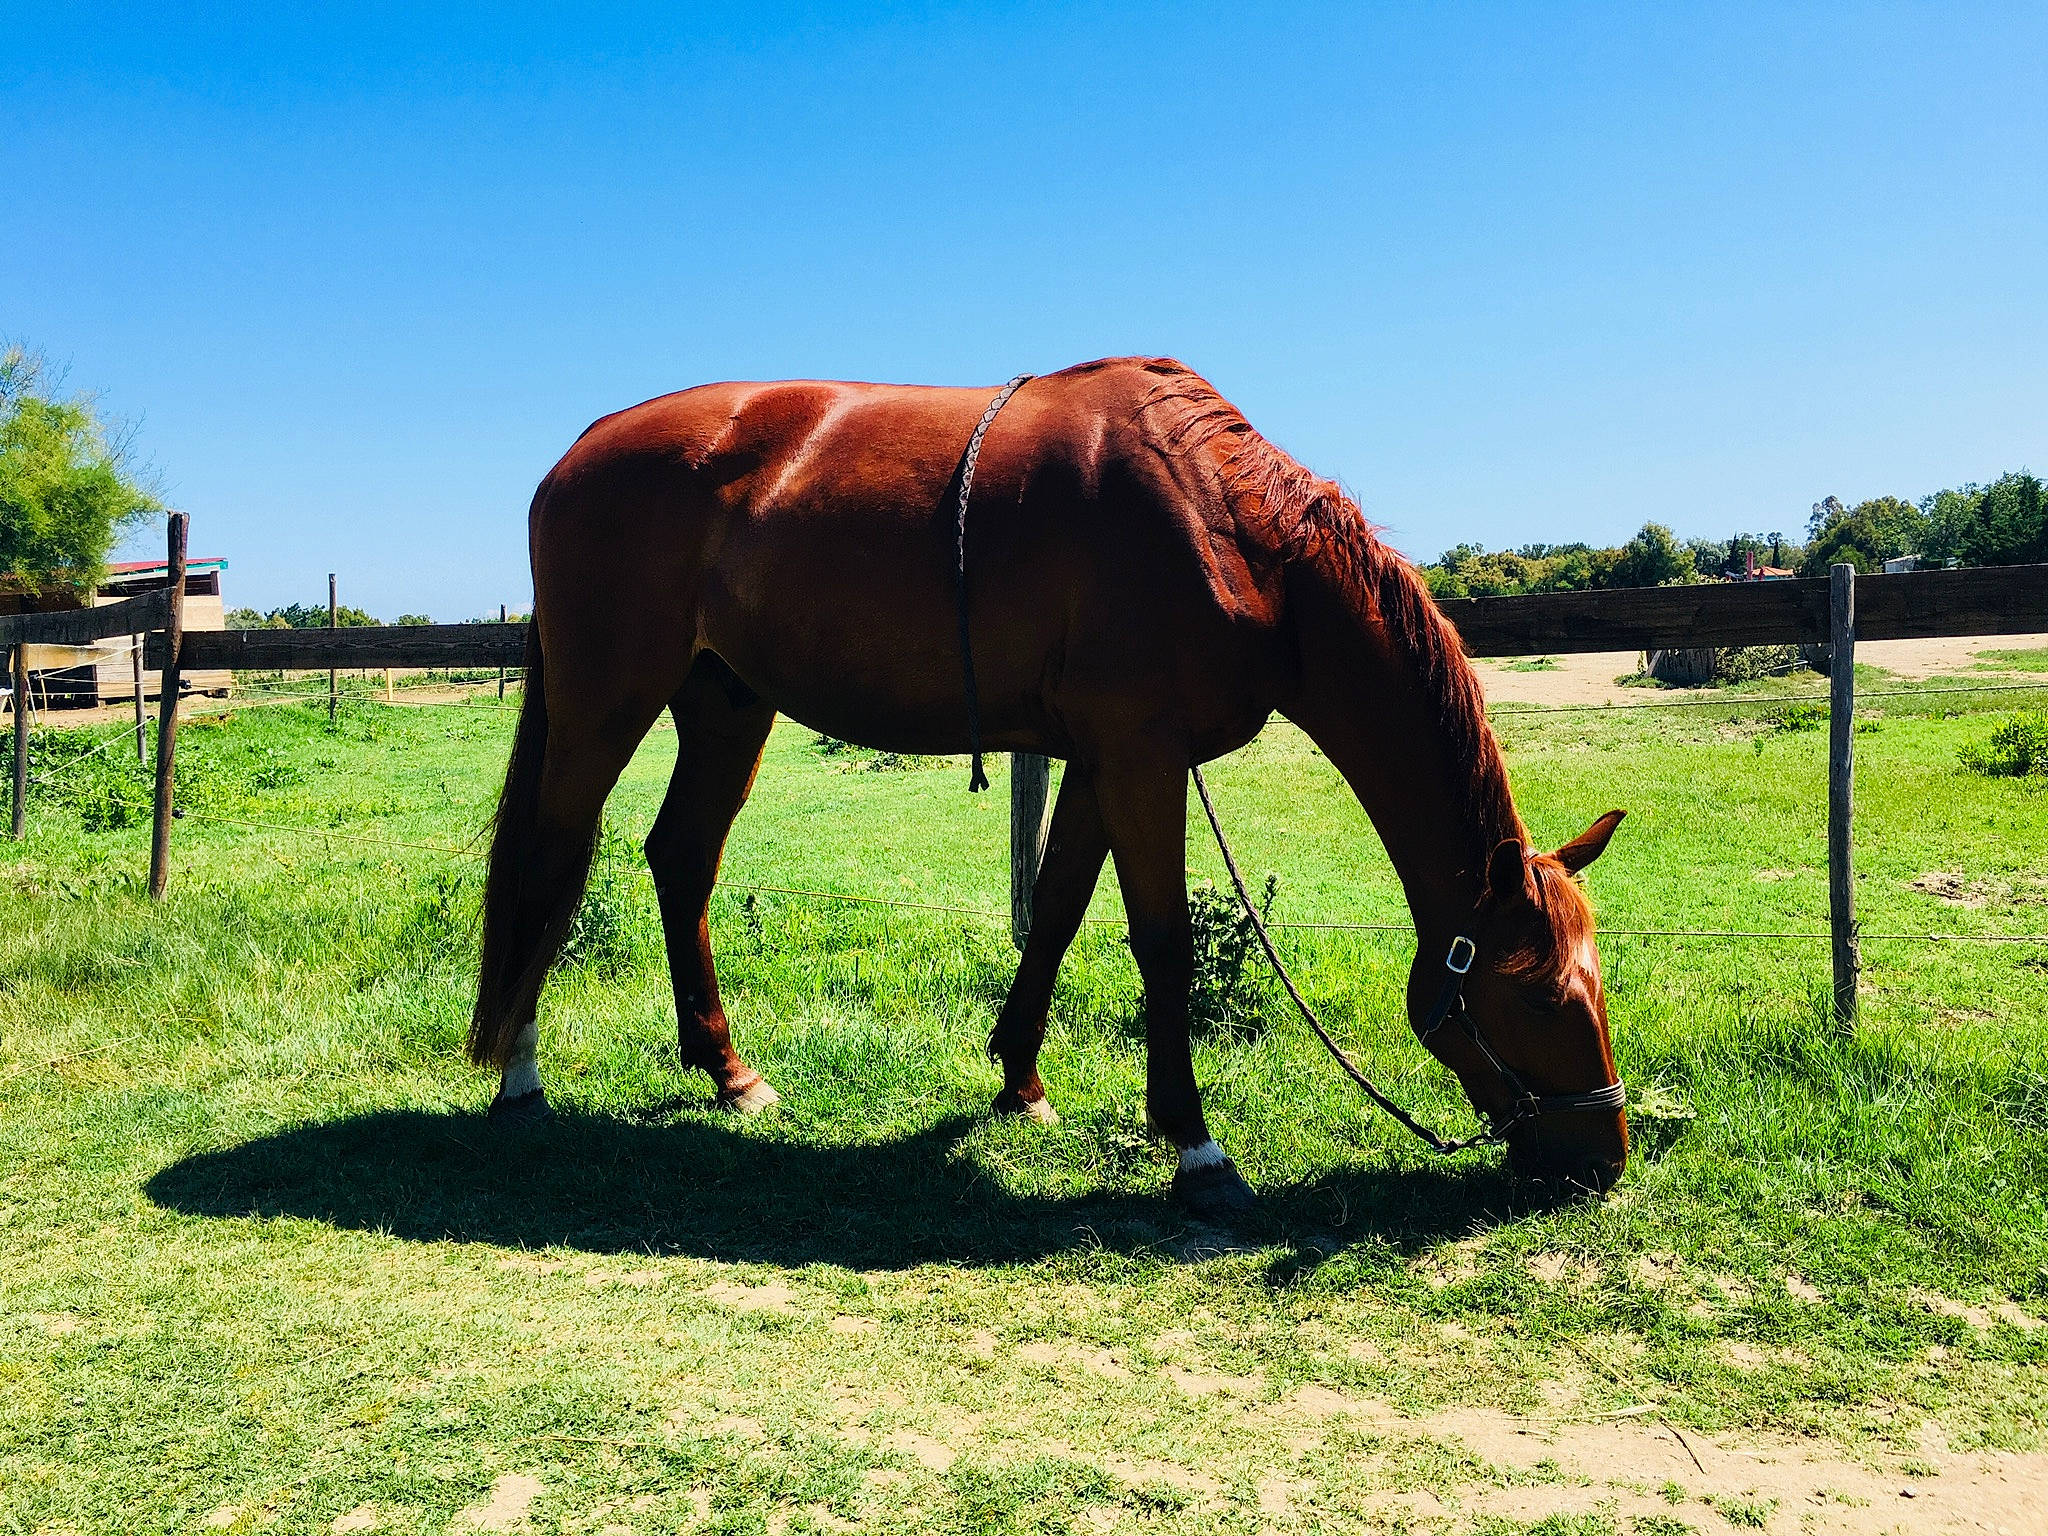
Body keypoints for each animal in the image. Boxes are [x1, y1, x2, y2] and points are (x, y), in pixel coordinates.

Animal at [466, 356, 1629, 1221]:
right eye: (1541, 995)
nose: (1604, 1159)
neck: (1224, 526)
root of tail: (577, 452)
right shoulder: (1144, 754)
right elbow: (1159, 939)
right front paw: (1195, 1146)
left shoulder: (1099, 758)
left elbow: (1062, 906)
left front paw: (1018, 1081)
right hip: (606, 700)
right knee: (554, 860)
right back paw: (519, 1076)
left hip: (724, 705)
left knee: (681, 860)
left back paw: (728, 1071)